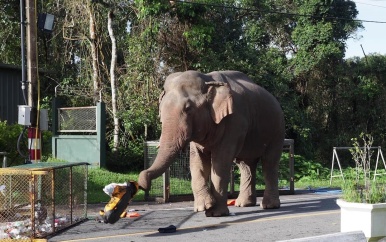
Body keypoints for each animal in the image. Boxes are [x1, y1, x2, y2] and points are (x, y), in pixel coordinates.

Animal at [138, 70, 284, 217]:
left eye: (188, 109)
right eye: (160, 110)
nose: (142, 183)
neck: (208, 79)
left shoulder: (234, 122)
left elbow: (220, 161)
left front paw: (215, 213)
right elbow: (197, 162)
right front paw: (202, 207)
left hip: (277, 131)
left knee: (269, 163)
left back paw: (269, 206)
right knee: (246, 165)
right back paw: (243, 204)